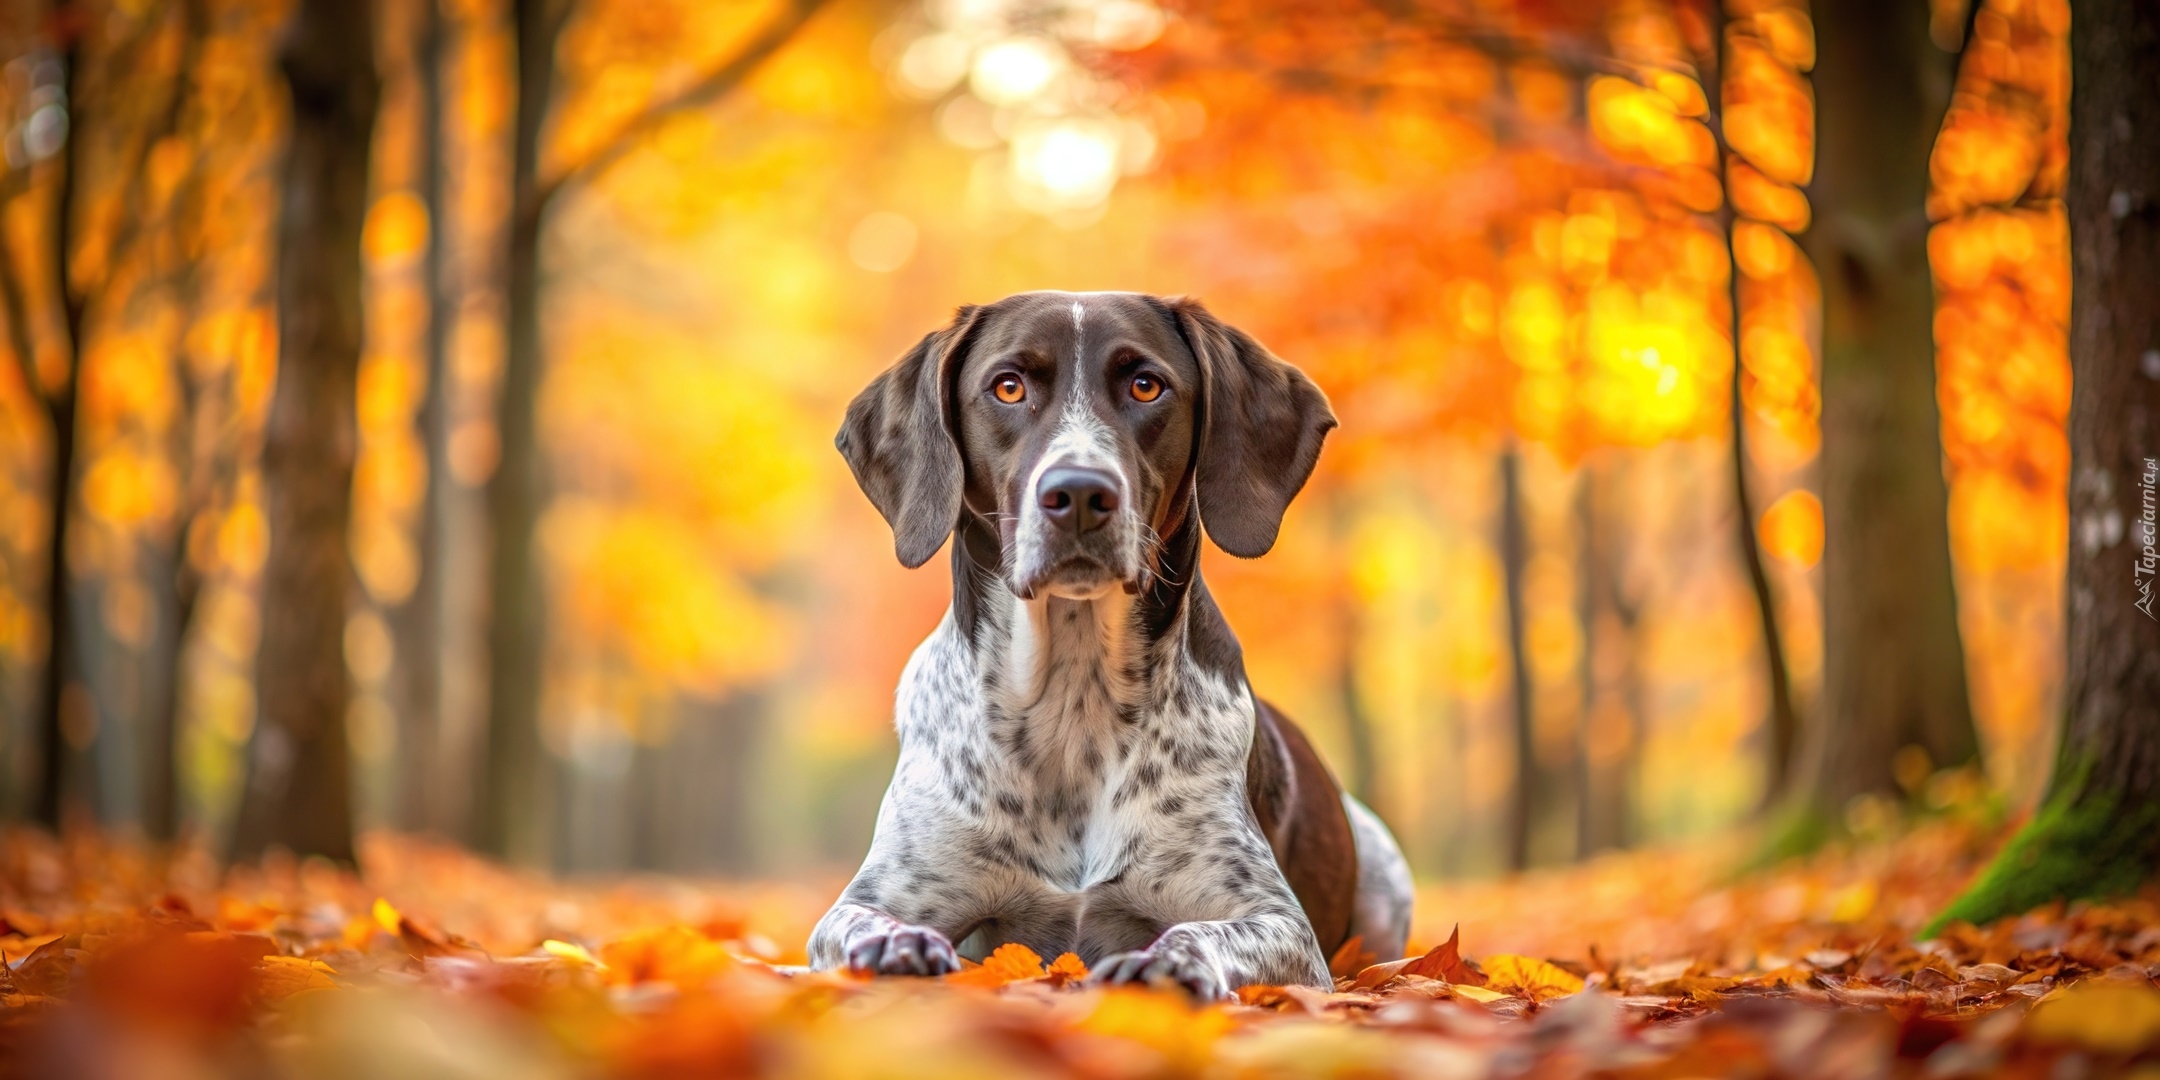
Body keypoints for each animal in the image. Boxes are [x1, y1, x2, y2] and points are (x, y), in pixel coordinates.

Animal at [812, 289, 1416, 993]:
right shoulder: (874, 898)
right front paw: (895, 946)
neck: (1074, 694)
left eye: (1146, 385)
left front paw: (1169, 962)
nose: (1077, 492)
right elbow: (862, 922)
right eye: (1008, 387)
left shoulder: (1280, 925)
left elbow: (1202, 932)